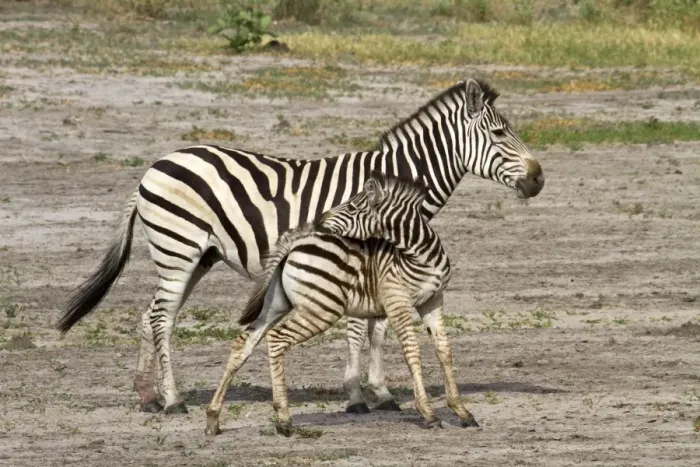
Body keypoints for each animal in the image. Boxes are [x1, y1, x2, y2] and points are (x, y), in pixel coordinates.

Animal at [205, 173, 478, 436]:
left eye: (354, 207)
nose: (318, 221)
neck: (420, 254)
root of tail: (295, 241)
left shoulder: (433, 300)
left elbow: (444, 351)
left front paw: (461, 411)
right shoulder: (398, 301)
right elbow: (412, 352)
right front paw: (429, 414)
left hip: (277, 304)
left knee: (244, 343)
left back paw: (213, 418)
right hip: (322, 308)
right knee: (277, 338)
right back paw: (283, 419)